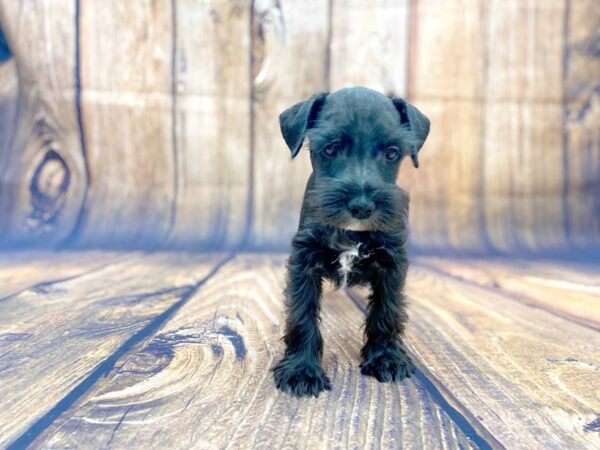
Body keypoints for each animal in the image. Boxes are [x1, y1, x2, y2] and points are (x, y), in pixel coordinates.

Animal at [272, 87, 432, 398]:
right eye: (330, 148)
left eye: (392, 152)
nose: (361, 205)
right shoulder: (304, 260)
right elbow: (301, 313)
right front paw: (301, 370)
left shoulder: (391, 262)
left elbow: (386, 310)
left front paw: (385, 358)